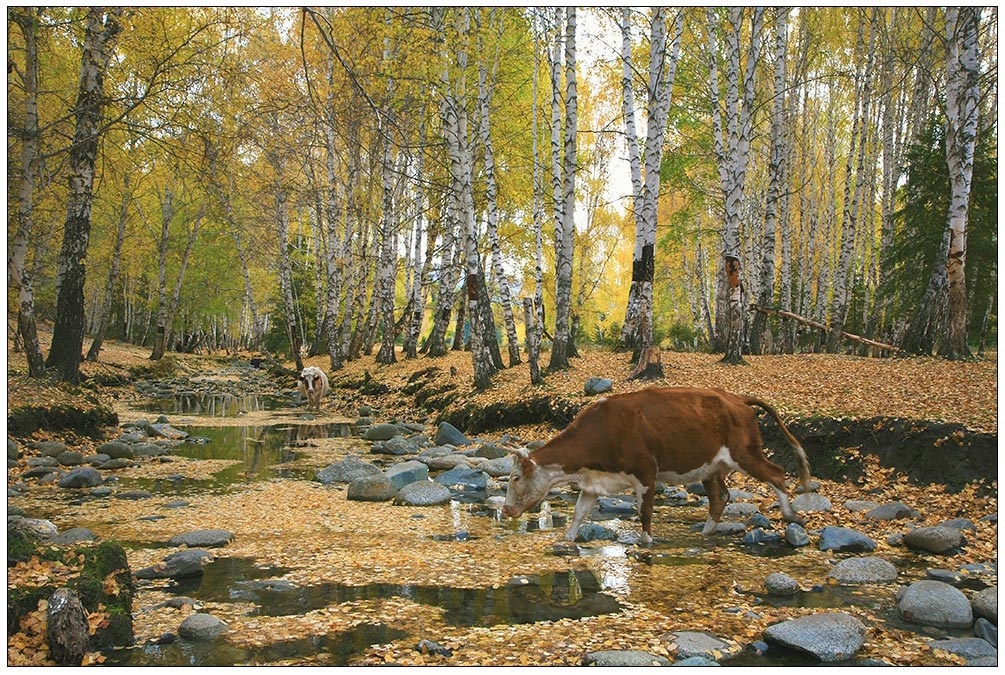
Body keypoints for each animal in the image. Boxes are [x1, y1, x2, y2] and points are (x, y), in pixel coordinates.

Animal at [500, 387, 808, 546]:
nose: (506, 510)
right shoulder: (593, 482)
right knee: (720, 498)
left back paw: (790, 514)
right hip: (711, 467)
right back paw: (705, 533)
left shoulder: (645, 471)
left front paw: (646, 541)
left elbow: (645, 512)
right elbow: (578, 513)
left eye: (515, 478)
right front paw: (567, 538)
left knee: (777, 473)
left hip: (744, 453)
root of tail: (736, 398)